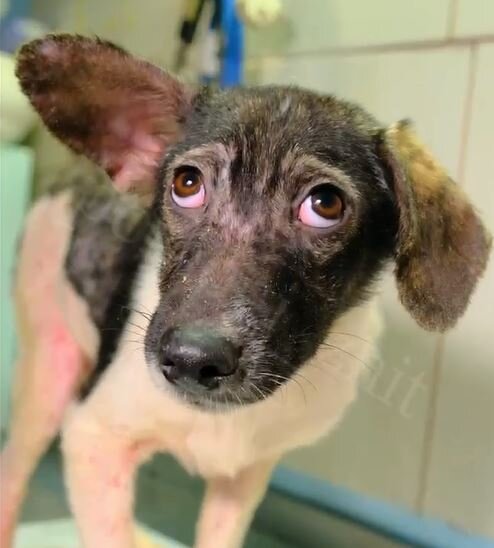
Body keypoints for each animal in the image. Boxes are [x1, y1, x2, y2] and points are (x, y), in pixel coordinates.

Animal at [0, 34, 491, 548]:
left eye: (325, 204)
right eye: (186, 183)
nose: (193, 359)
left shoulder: (246, 477)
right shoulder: (93, 438)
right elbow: (110, 532)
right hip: (47, 371)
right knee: (12, 472)